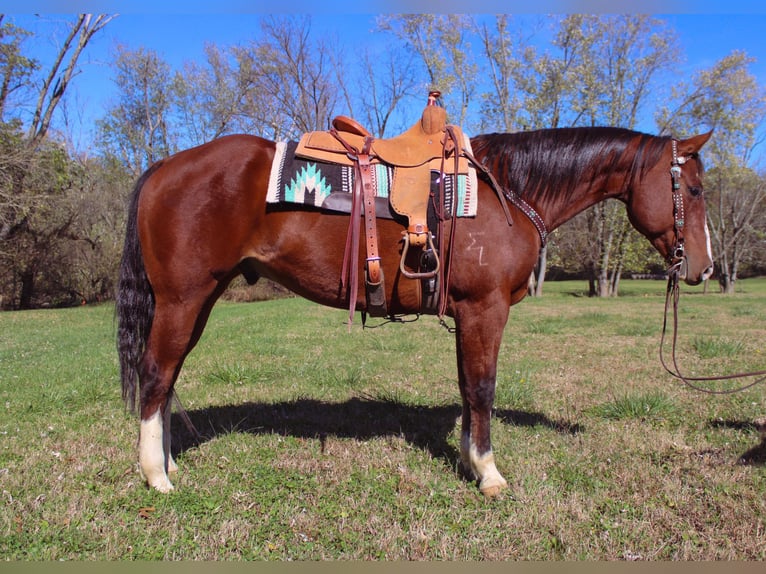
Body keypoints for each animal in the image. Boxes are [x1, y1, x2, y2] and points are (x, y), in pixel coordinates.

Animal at [117, 126, 716, 500]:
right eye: (692, 189)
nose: (704, 268)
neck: (508, 191)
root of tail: (164, 166)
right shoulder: (485, 309)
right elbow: (483, 387)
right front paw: (490, 474)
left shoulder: (468, 314)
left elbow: (467, 387)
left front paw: (470, 461)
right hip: (184, 299)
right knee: (156, 374)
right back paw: (156, 478)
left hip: (198, 301)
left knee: (167, 378)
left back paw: (168, 463)